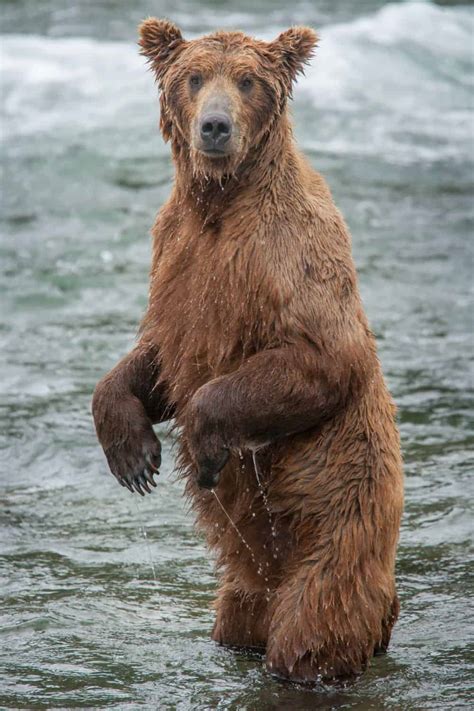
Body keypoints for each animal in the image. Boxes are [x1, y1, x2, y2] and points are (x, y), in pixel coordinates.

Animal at [91, 18, 404, 684]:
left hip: (339, 523)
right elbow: (158, 357)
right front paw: (133, 456)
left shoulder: (287, 254)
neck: (220, 202)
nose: (215, 126)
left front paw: (205, 446)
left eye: (247, 80)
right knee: (238, 619)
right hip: (244, 586)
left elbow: (322, 358)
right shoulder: (176, 258)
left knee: (314, 628)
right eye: (193, 77)